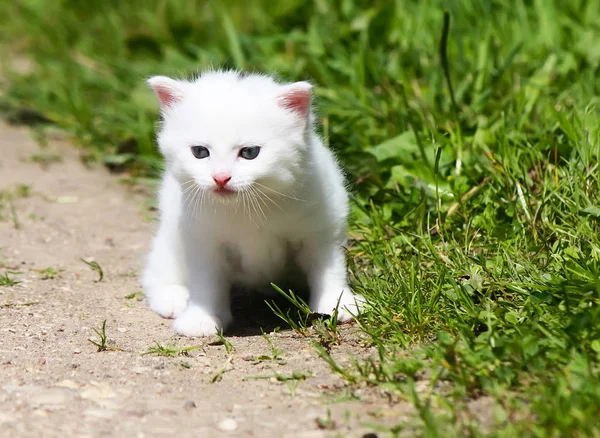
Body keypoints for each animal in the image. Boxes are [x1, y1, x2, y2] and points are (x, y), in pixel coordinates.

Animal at [143, 70, 364, 336]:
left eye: (249, 153)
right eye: (200, 152)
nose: (220, 178)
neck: (248, 206)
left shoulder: (323, 226)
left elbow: (329, 267)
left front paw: (338, 303)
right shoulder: (202, 238)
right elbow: (206, 280)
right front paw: (201, 318)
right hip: (170, 236)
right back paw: (173, 297)